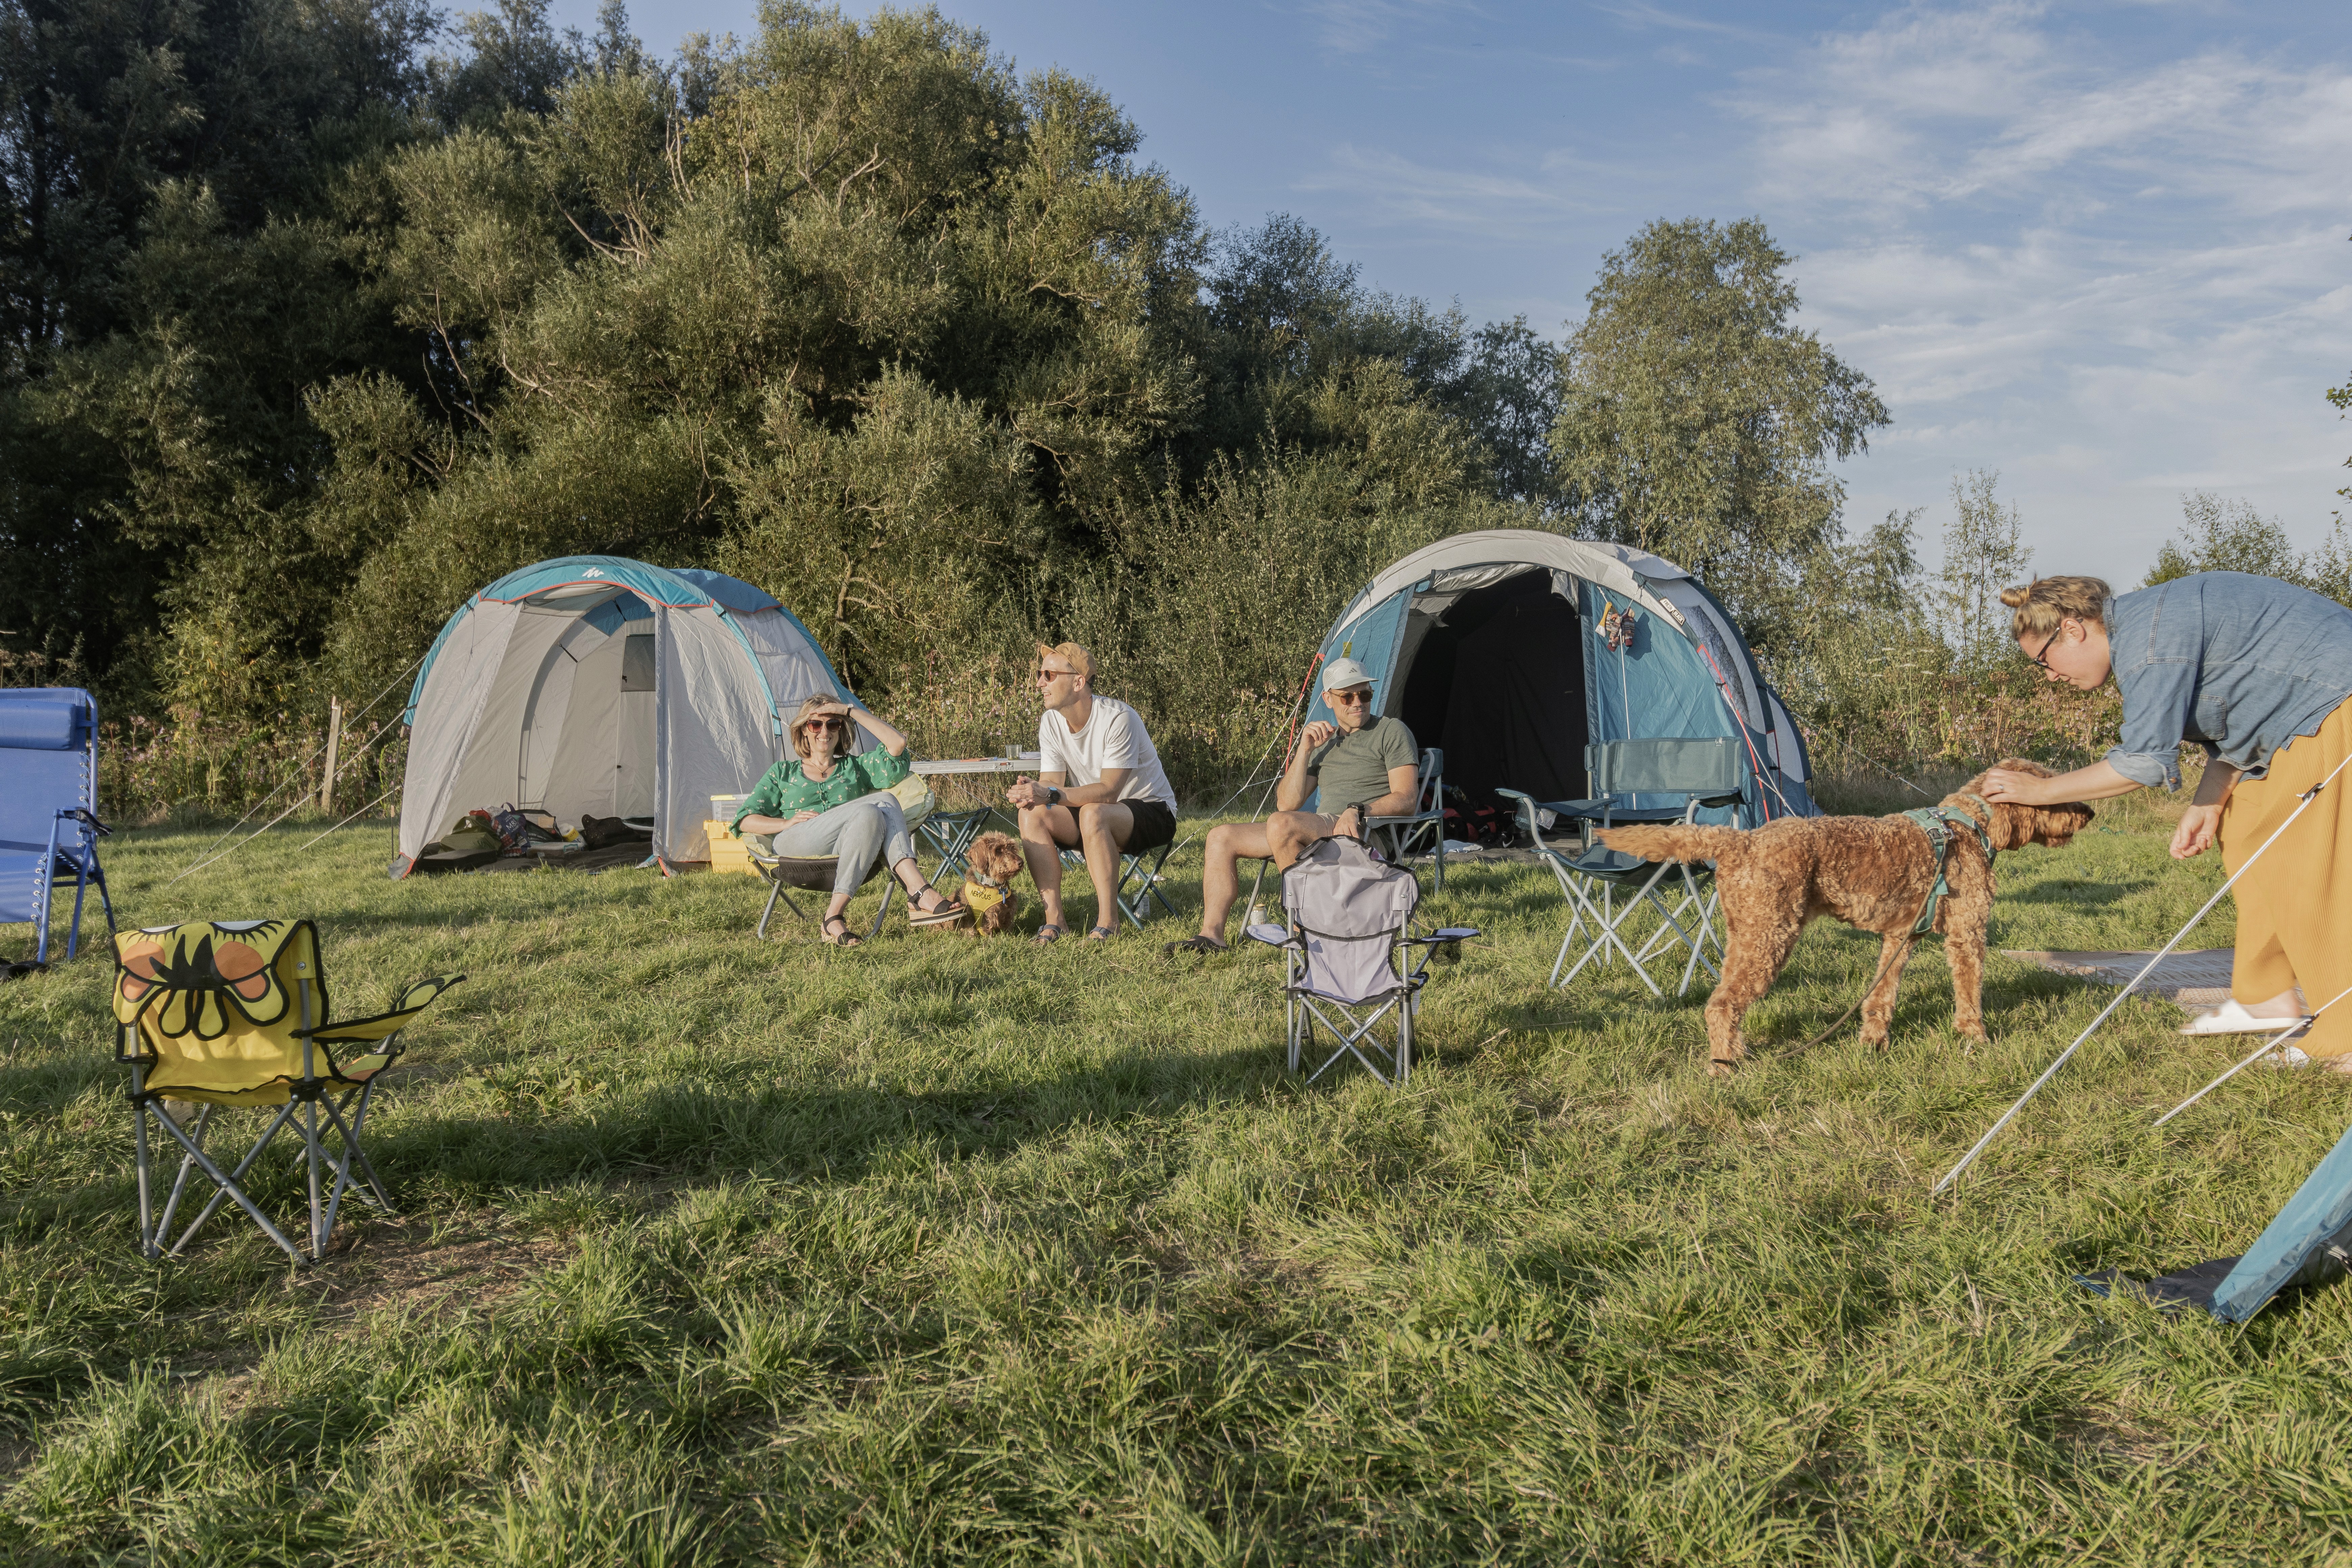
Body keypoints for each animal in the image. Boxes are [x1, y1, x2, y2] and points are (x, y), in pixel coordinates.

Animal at [959, 827, 1025, 940]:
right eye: (998, 850)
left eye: (1012, 848)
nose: (1021, 862)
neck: (991, 883)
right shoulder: (987, 916)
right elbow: (985, 929)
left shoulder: (1009, 911)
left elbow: (1008, 927)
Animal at [1599, 761, 2098, 1081]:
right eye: (2054, 791)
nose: (2091, 811)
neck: (1967, 826)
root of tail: (1740, 840)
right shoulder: (1967, 932)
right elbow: (1970, 996)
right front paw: (1977, 1040)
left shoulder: (1900, 936)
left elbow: (1880, 996)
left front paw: (1873, 1043)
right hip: (1770, 938)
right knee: (1721, 1005)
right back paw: (1724, 1068)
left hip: (1746, 936)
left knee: (1728, 1001)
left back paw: (1737, 1052)